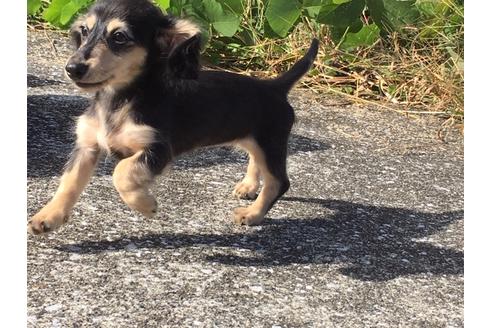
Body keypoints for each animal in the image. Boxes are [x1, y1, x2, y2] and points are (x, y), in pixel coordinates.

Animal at [27, 0, 320, 236]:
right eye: (85, 31)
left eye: (119, 37)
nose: (72, 68)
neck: (119, 100)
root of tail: (274, 86)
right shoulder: (87, 146)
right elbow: (68, 182)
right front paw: (48, 216)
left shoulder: (158, 149)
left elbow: (122, 173)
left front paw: (145, 205)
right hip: (254, 139)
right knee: (255, 159)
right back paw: (248, 186)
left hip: (271, 142)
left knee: (279, 182)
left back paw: (253, 214)